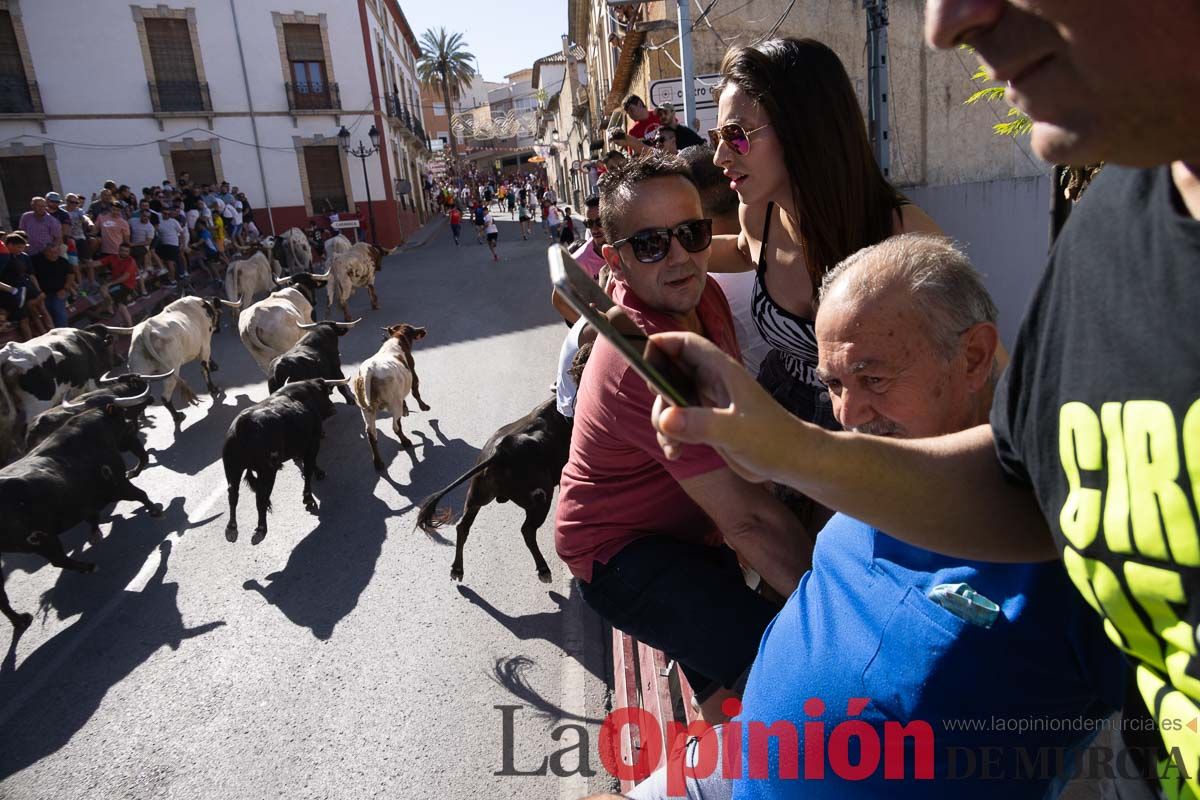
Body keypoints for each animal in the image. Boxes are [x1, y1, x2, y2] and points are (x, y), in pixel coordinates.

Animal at [105, 297, 241, 429]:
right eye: (219, 313)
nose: (218, 329)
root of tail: (145, 330)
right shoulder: (205, 346)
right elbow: (204, 369)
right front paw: (213, 388)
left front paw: (213, 366)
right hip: (171, 371)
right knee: (165, 397)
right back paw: (177, 416)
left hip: (139, 372)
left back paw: (141, 414)